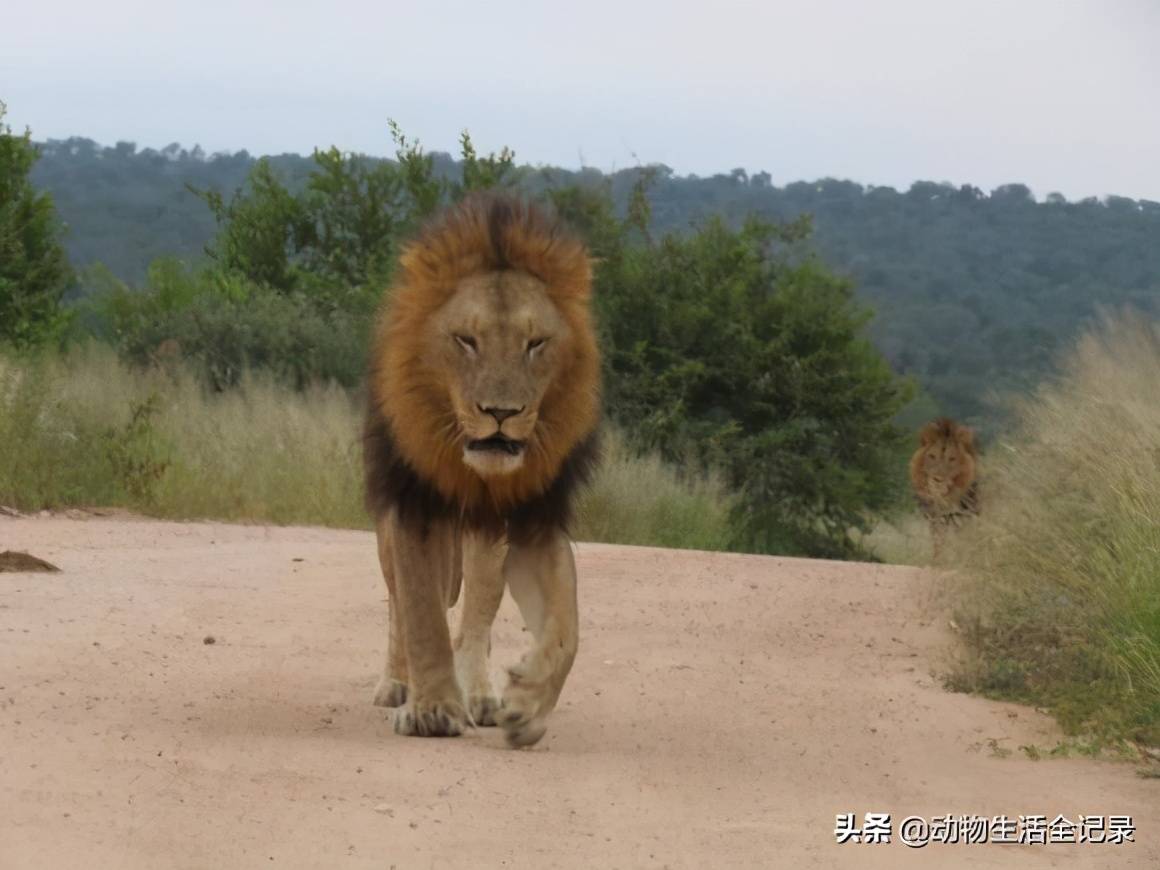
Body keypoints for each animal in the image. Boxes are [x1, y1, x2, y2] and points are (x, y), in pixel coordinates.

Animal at [359, 192, 598, 751]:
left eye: (535, 343)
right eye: (466, 340)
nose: (501, 413)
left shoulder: (533, 519)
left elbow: (567, 628)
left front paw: (526, 705)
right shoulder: (412, 506)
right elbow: (421, 614)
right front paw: (431, 710)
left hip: (487, 543)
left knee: (475, 615)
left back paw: (480, 694)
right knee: (399, 604)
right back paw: (397, 684)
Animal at [904, 415, 979, 552]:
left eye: (952, 459)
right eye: (932, 456)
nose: (938, 479)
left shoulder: (967, 513)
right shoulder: (935, 519)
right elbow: (939, 543)